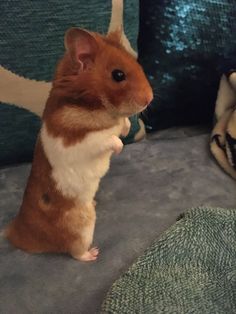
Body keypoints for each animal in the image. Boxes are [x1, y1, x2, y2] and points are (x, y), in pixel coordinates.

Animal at [6, 27, 153, 262]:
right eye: (118, 75)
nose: (150, 99)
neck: (94, 105)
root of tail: (16, 233)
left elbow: (122, 124)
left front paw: (126, 127)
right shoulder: (79, 143)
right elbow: (106, 138)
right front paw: (119, 147)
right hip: (81, 227)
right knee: (74, 251)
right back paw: (93, 254)